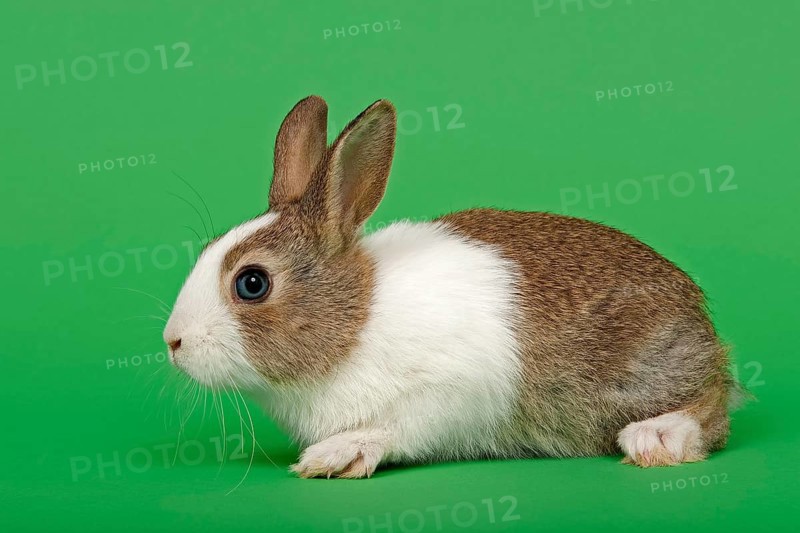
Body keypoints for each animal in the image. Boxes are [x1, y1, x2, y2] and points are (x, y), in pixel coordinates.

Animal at [163, 95, 741, 479]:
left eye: (252, 283)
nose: (173, 342)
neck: (356, 318)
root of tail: (700, 322)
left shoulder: (448, 391)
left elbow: (400, 427)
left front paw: (336, 455)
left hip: (644, 368)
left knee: (711, 407)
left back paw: (657, 438)